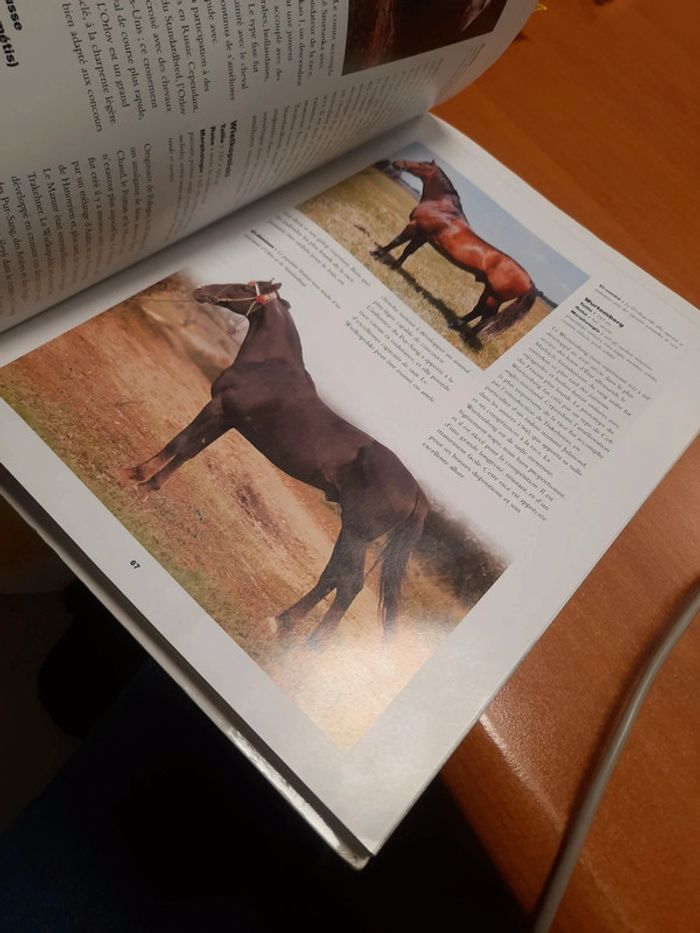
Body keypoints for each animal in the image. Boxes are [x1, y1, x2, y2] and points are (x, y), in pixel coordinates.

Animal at [124, 280, 428, 647]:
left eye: (243, 286)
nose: (203, 290)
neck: (268, 366)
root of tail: (416, 492)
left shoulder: (218, 408)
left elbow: (180, 444)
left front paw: (140, 480)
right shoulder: (227, 418)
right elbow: (190, 450)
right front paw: (144, 477)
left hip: (357, 533)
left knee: (349, 584)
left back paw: (311, 645)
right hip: (350, 531)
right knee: (331, 576)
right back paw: (281, 623)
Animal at [372, 159, 539, 340]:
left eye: (422, 164)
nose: (397, 163)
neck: (441, 208)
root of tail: (530, 282)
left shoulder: (414, 226)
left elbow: (396, 242)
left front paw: (377, 254)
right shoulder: (423, 235)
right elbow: (407, 251)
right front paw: (393, 266)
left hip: (494, 297)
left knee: (486, 317)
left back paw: (466, 335)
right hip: (489, 292)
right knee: (479, 311)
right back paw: (455, 324)